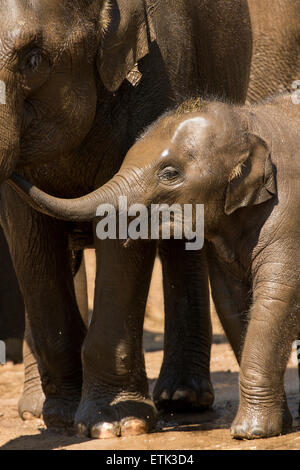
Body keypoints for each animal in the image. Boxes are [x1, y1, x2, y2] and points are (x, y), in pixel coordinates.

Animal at [0, 0, 252, 436]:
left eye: (33, 60)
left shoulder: (158, 69)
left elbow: (122, 224)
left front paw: (115, 424)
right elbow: (27, 234)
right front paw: (62, 418)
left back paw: (182, 399)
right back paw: (35, 409)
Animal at [10, 92, 300, 440]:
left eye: (169, 173)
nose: (13, 170)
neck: (250, 121)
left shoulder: (289, 213)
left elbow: (276, 298)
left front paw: (249, 432)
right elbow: (234, 303)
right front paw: (276, 426)